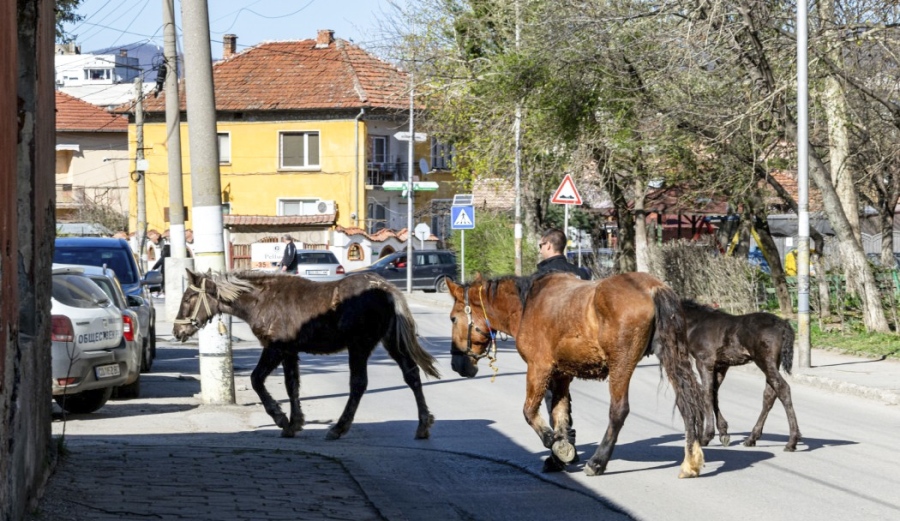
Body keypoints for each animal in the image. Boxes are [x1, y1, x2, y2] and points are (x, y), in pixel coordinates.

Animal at [172, 268, 440, 438]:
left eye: (188, 298)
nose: (177, 330)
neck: (261, 300)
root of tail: (386, 289)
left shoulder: (275, 348)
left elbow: (257, 379)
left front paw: (280, 418)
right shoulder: (290, 351)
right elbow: (292, 386)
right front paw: (294, 423)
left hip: (360, 346)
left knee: (359, 384)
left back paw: (339, 428)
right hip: (390, 341)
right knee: (412, 375)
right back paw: (423, 425)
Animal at [446, 272, 708, 480]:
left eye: (453, 318)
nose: (457, 364)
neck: (527, 305)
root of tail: (653, 287)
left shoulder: (539, 368)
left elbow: (530, 412)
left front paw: (555, 445)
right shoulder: (561, 375)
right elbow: (560, 416)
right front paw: (559, 456)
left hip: (621, 365)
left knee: (618, 410)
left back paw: (598, 462)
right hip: (671, 355)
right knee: (687, 403)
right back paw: (690, 461)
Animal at [684, 300, 800, 450]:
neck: (696, 323)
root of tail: (783, 325)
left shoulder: (703, 362)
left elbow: (707, 394)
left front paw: (706, 437)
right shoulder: (721, 366)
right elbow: (714, 394)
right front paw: (723, 433)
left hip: (764, 361)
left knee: (782, 388)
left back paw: (792, 441)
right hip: (773, 363)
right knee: (770, 394)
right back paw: (752, 438)